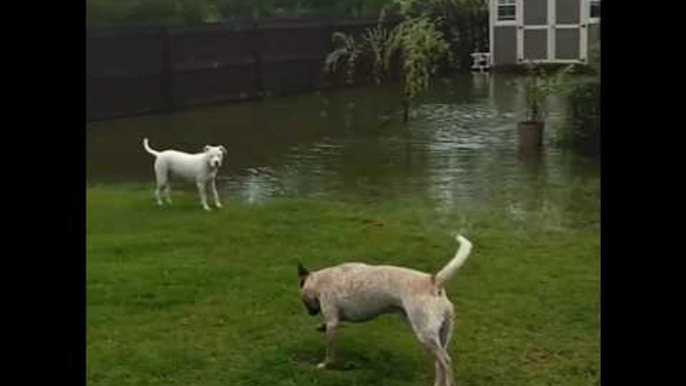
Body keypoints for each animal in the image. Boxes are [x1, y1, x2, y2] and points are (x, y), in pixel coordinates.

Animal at [298, 235, 476, 386]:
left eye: (303, 300)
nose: (310, 313)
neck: (319, 281)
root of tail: (433, 281)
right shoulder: (333, 321)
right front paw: (320, 327)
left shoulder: (332, 321)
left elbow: (329, 351)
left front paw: (324, 365)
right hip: (441, 336)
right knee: (439, 363)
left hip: (426, 335)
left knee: (446, 362)